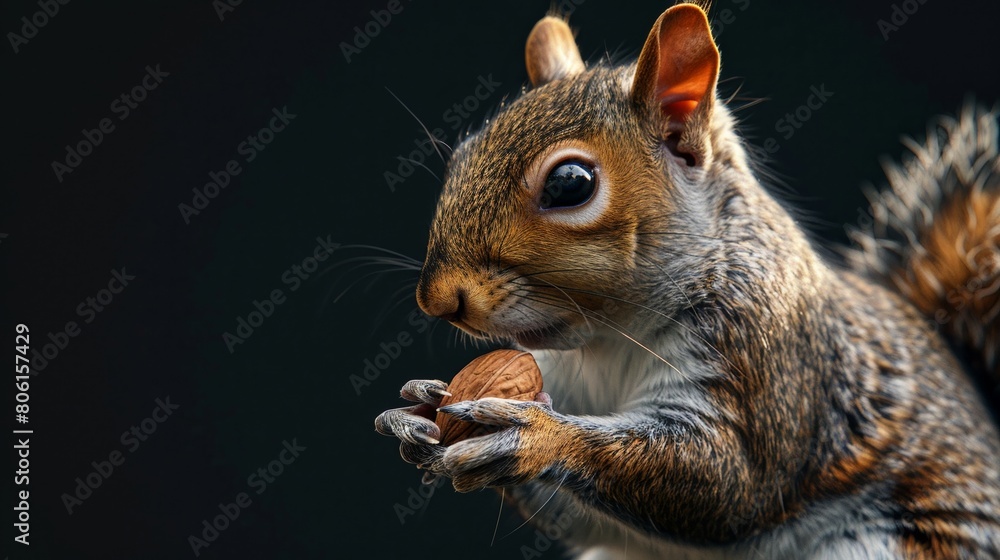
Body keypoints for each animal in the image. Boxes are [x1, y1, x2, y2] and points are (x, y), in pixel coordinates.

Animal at [375, 2, 1000, 558]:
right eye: (462, 152)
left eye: (570, 184)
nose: (436, 299)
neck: (608, 342)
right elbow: (573, 517)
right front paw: (419, 408)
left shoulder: (765, 360)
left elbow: (729, 483)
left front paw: (536, 436)